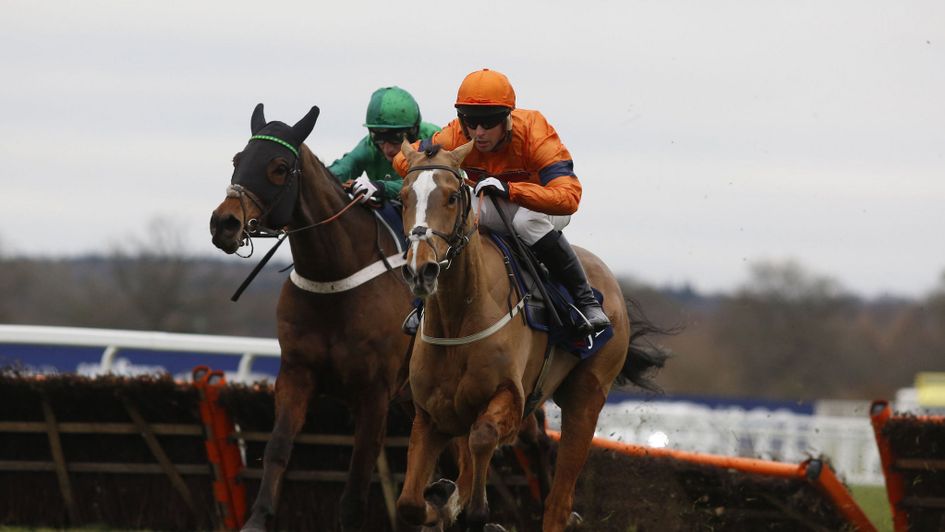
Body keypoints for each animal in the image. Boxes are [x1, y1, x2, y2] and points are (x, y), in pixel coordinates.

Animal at [209, 104, 413, 531]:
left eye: (280, 167)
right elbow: (278, 447)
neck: (333, 278)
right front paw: (258, 519)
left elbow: (359, 474)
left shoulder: (375, 392)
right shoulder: (297, 373)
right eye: (237, 160)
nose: (224, 224)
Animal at [394, 140, 666, 532]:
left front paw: (475, 512)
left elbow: (484, 438)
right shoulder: (431, 415)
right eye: (403, 198)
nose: (421, 270)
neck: (458, 319)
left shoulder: (511, 399)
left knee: (558, 502)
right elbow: (411, 504)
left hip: (586, 399)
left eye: (451, 198)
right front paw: (445, 503)